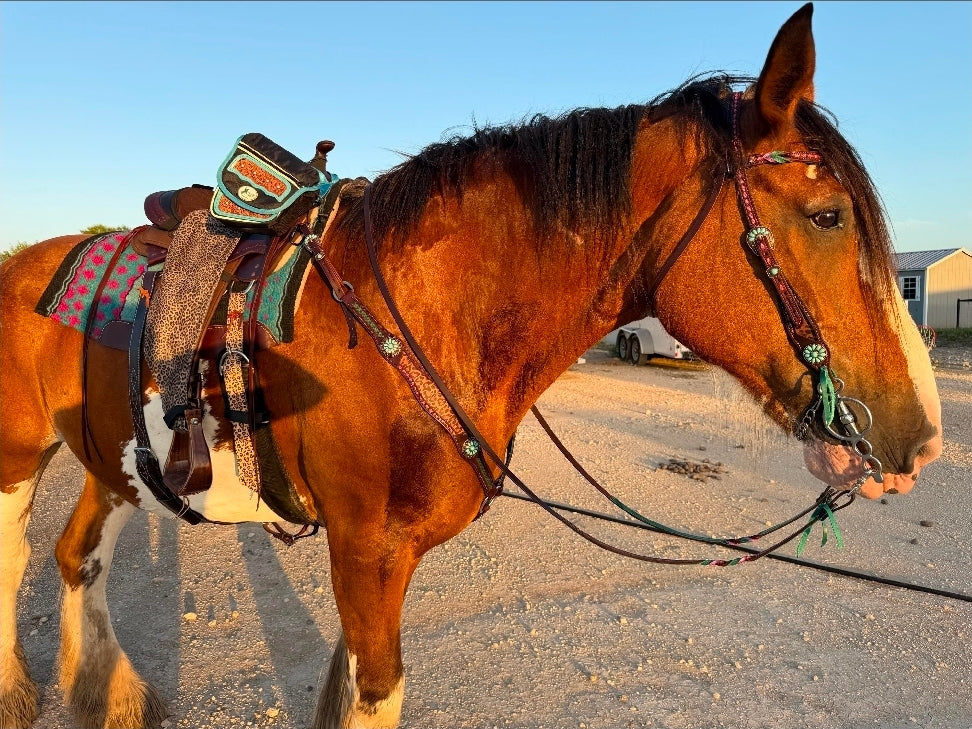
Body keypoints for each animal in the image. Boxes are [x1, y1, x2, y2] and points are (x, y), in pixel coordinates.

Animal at [0, 4, 943, 728]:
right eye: (827, 216)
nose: (924, 437)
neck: (422, 316)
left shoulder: (373, 563)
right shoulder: (367, 553)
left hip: (119, 462)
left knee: (77, 555)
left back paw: (111, 694)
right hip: (18, 457)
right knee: (17, 554)